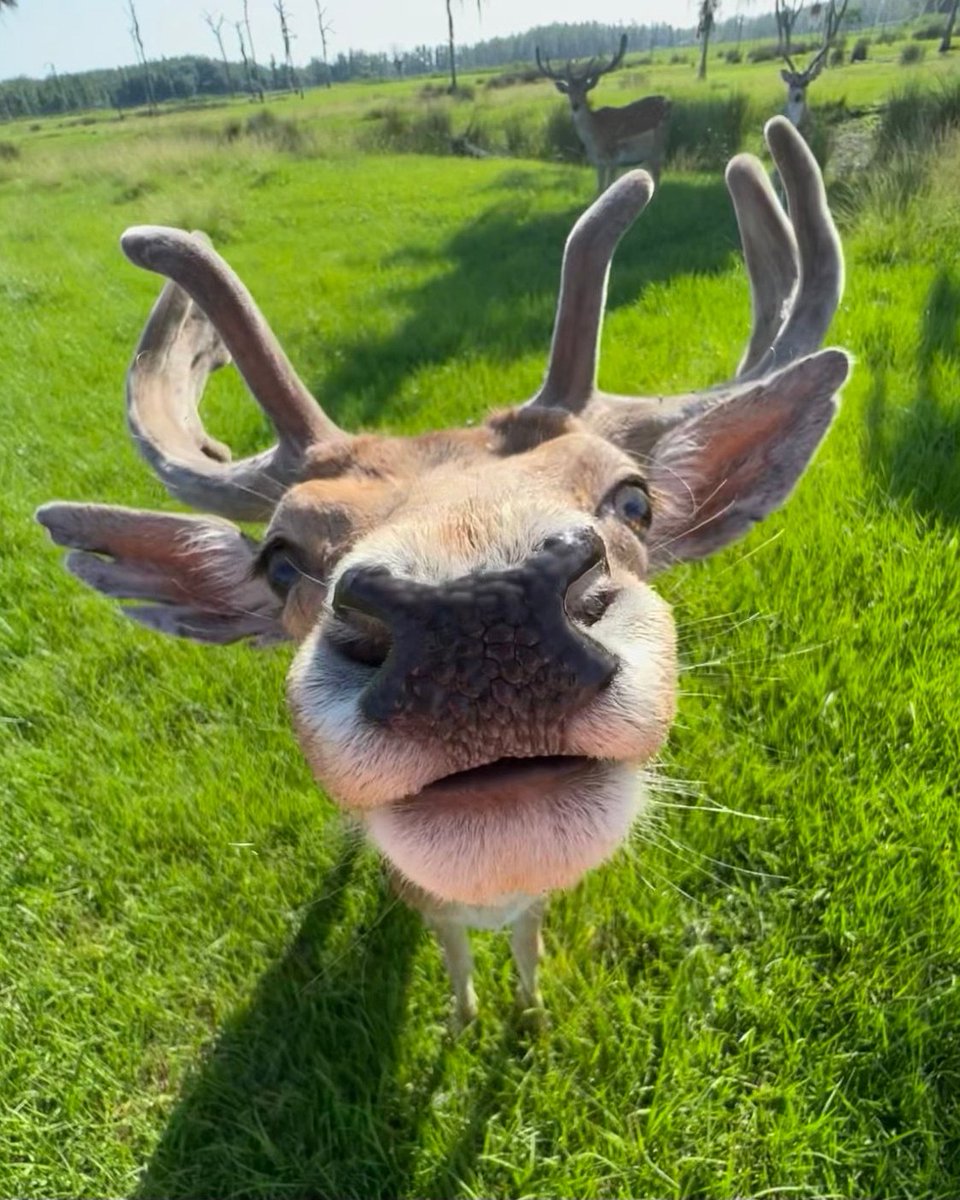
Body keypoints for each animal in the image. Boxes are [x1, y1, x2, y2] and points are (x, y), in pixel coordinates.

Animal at [36, 118, 847, 1029]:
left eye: (635, 499)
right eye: (280, 558)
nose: (476, 615)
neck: (489, 898)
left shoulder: (533, 906)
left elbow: (530, 949)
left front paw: (529, 1014)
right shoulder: (425, 902)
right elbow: (451, 956)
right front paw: (461, 1020)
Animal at [536, 33, 671, 194]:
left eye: (585, 89)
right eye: (569, 91)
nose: (575, 105)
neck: (594, 140)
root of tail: (667, 101)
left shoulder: (613, 158)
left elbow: (608, 186)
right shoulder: (597, 162)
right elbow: (600, 188)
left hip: (658, 148)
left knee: (657, 176)